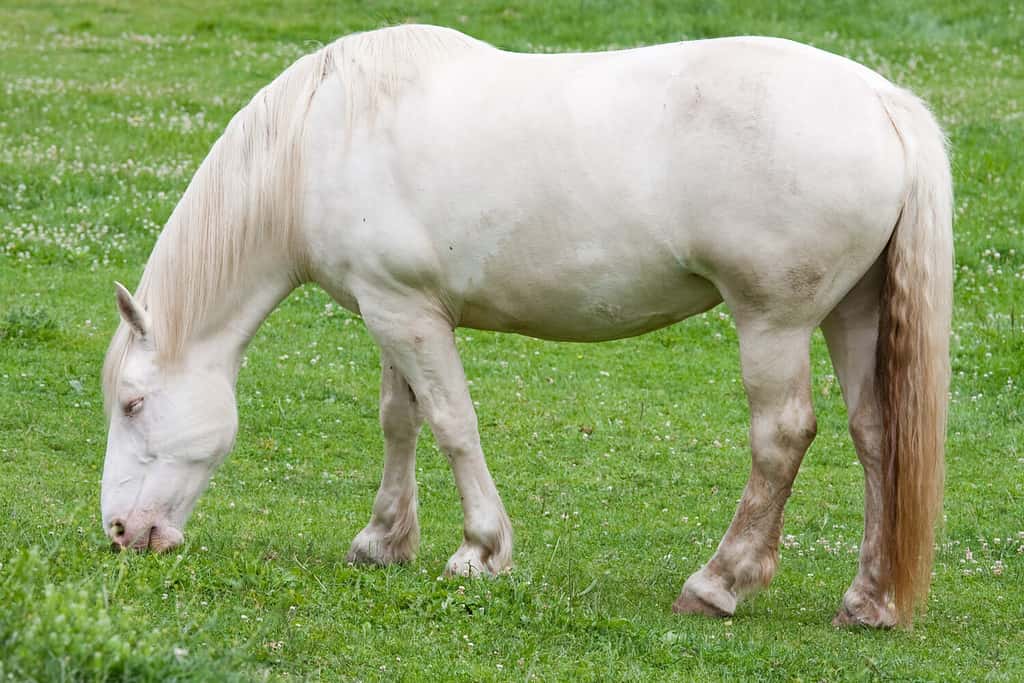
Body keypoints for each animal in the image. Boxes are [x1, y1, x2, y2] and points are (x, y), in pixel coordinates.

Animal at [100, 24, 952, 627]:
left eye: (134, 403)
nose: (120, 531)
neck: (325, 136)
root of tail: (881, 100)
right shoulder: (391, 309)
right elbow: (399, 419)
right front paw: (383, 541)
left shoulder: (407, 314)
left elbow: (451, 423)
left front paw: (480, 549)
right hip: (852, 314)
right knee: (876, 435)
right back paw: (868, 599)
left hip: (773, 323)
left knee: (781, 436)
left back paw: (718, 582)